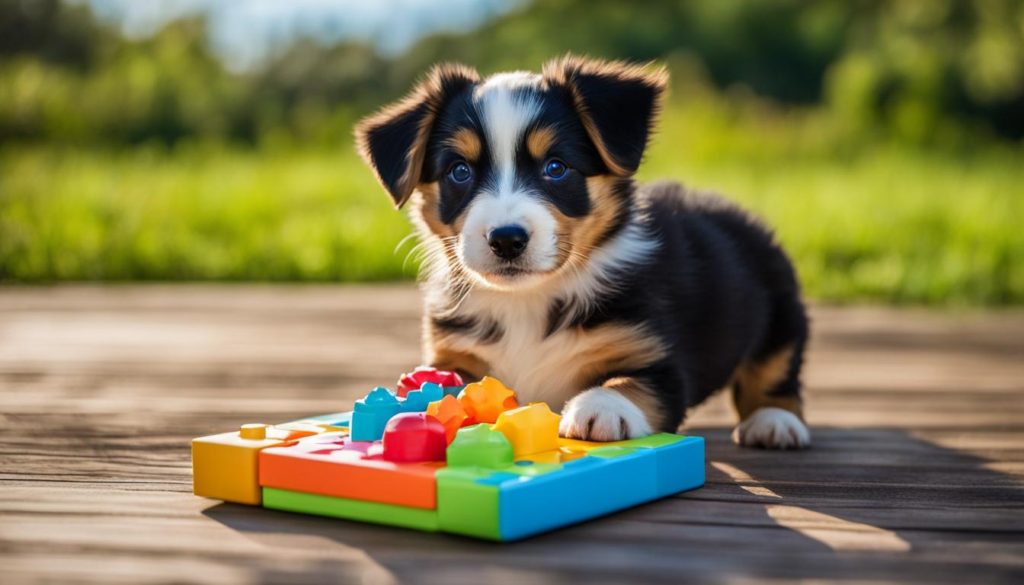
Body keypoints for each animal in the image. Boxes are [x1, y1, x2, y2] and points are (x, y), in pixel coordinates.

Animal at [356, 56, 811, 448]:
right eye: (459, 171)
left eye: (556, 168)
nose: (506, 240)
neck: (527, 302)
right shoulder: (454, 352)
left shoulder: (657, 359)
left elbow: (628, 383)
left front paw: (601, 408)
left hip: (781, 312)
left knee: (774, 374)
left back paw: (774, 422)